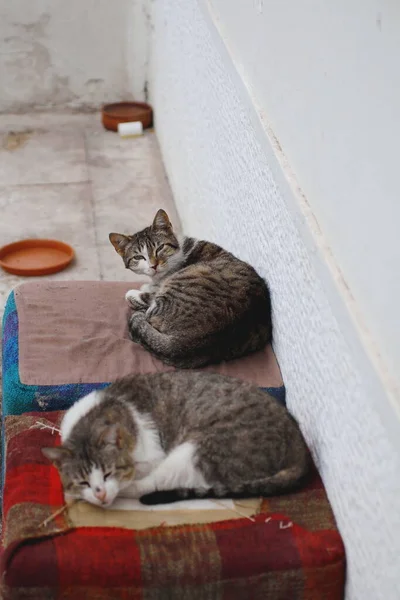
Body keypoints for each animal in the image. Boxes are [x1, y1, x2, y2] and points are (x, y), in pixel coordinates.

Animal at [41, 370, 310, 506]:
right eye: (83, 481)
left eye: (108, 473)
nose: (100, 494)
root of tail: (300, 447)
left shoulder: (152, 456)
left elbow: (136, 477)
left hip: (199, 451)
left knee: (154, 484)